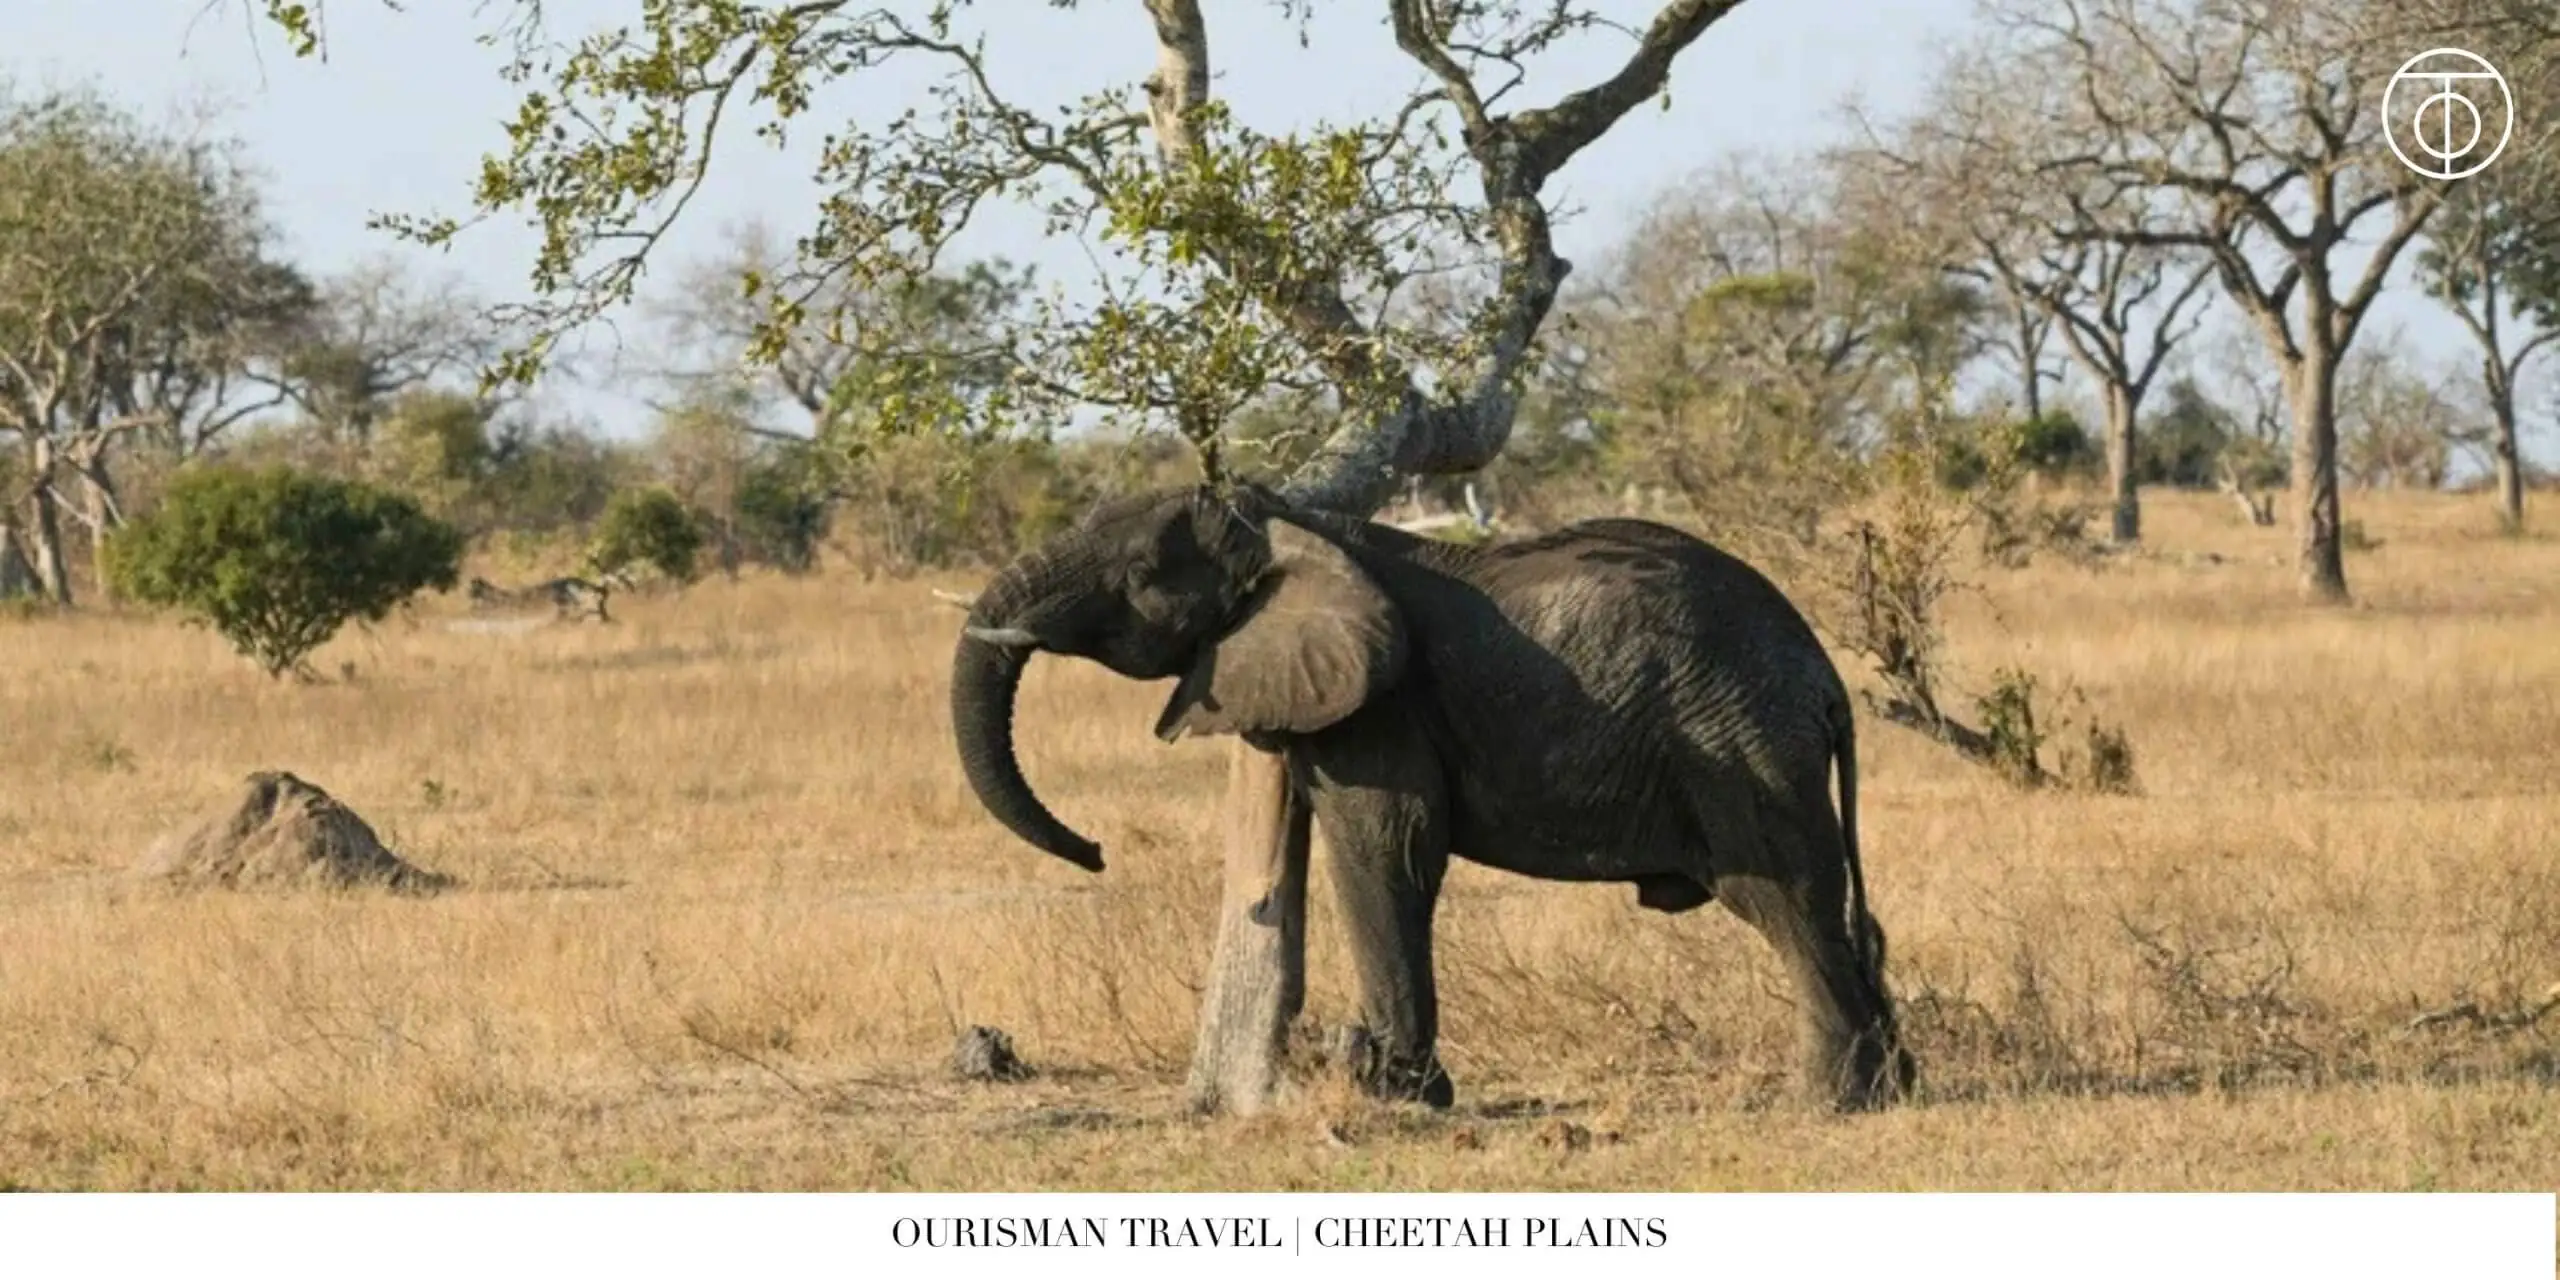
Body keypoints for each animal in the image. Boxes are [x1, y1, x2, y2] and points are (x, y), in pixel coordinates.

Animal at [948, 480, 1917, 1112]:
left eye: (1142, 568)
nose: (1095, 851)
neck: (1288, 523)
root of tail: (1825, 675)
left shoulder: (1384, 707)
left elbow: (1386, 850)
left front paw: (1395, 1094)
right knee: (1826, 905)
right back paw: (1893, 1087)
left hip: (1738, 743)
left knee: (1783, 897)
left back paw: (1829, 1102)